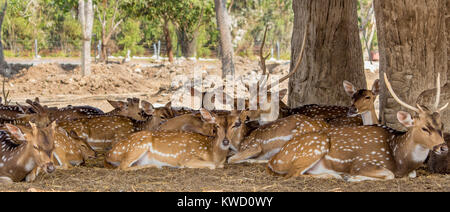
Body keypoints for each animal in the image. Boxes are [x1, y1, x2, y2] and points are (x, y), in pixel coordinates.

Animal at [104, 108, 232, 170]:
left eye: (234, 125)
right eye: (217, 125)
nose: (226, 141)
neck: (213, 154)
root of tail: (109, 154)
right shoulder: (187, 157)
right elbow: (212, 165)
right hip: (137, 146)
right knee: (122, 167)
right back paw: (157, 165)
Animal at [268, 73, 448, 181]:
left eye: (441, 124)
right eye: (424, 128)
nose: (443, 147)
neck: (400, 159)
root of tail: (273, 160)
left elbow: (412, 174)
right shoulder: (362, 163)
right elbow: (388, 174)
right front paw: (352, 177)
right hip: (316, 146)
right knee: (293, 175)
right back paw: (337, 175)